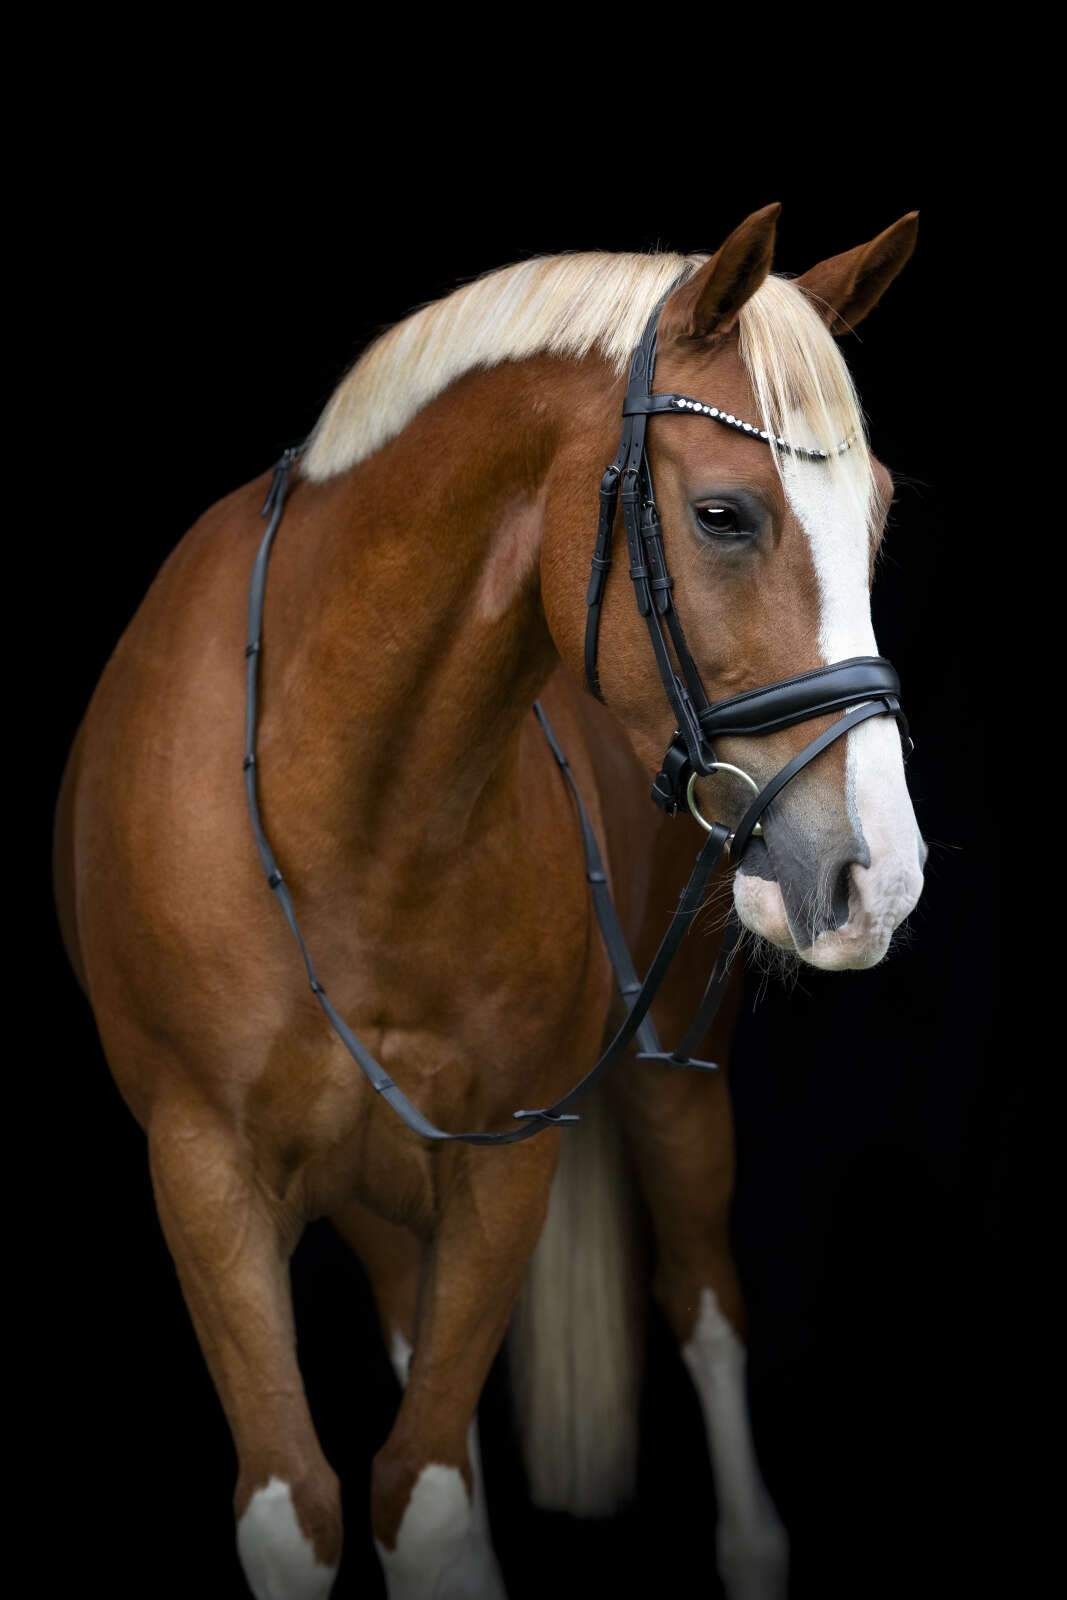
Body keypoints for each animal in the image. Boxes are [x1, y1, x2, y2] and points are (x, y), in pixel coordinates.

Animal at [52, 202, 924, 1600]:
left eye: (879, 511)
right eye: (723, 514)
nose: (877, 880)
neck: (342, 809)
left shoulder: (506, 1162)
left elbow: (423, 1499)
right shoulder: (201, 1171)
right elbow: (308, 1506)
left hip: (674, 1084)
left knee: (704, 1313)